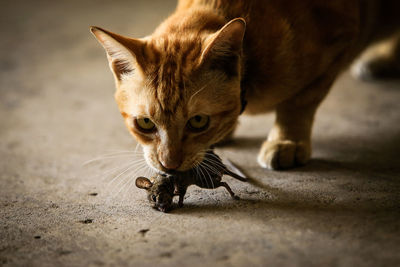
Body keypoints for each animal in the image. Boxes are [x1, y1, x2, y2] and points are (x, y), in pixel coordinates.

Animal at [91, 0, 400, 173]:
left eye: (198, 121)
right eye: (145, 123)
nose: (169, 165)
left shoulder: (339, 44)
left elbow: (297, 105)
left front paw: (287, 141)